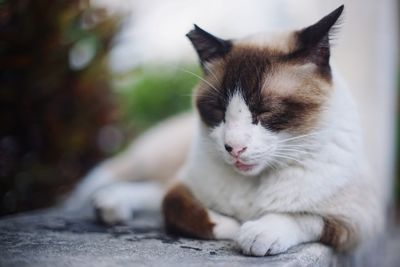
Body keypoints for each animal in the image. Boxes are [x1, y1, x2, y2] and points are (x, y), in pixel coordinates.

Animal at [66, 4, 384, 258]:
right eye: (219, 111)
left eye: (264, 111)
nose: (234, 148)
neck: (255, 184)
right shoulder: (183, 185)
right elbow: (175, 206)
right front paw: (232, 225)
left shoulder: (358, 223)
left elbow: (303, 216)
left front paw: (256, 232)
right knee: (132, 182)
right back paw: (106, 202)